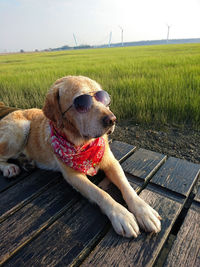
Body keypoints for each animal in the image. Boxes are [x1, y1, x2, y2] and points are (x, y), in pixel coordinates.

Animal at [0, 76, 161, 239]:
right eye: (81, 103)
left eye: (104, 98)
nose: (112, 119)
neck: (84, 144)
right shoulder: (73, 176)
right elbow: (100, 193)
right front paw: (121, 214)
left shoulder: (111, 162)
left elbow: (126, 186)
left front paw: (144, 211)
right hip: (19, 129)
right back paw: (10, 168)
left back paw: (26, 162)